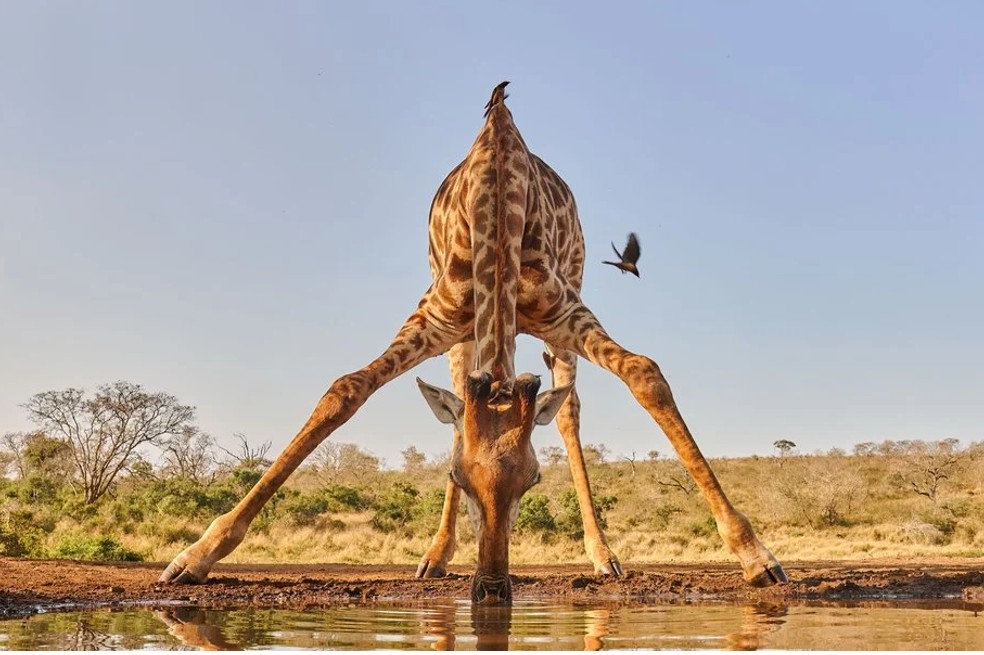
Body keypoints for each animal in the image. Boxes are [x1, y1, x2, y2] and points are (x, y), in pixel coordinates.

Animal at [160, 81, 787, 600]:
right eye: (460, 477)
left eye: (533, 480)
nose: (491, 588)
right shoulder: (434, 316)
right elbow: (346, 390)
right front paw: (195, 557)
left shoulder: (563, 308)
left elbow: (645, 373)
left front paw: (756, 555)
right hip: (462, 337)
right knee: (458, 401)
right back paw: (435, 558)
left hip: (566, 303)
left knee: (568, 410)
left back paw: (602, 556)